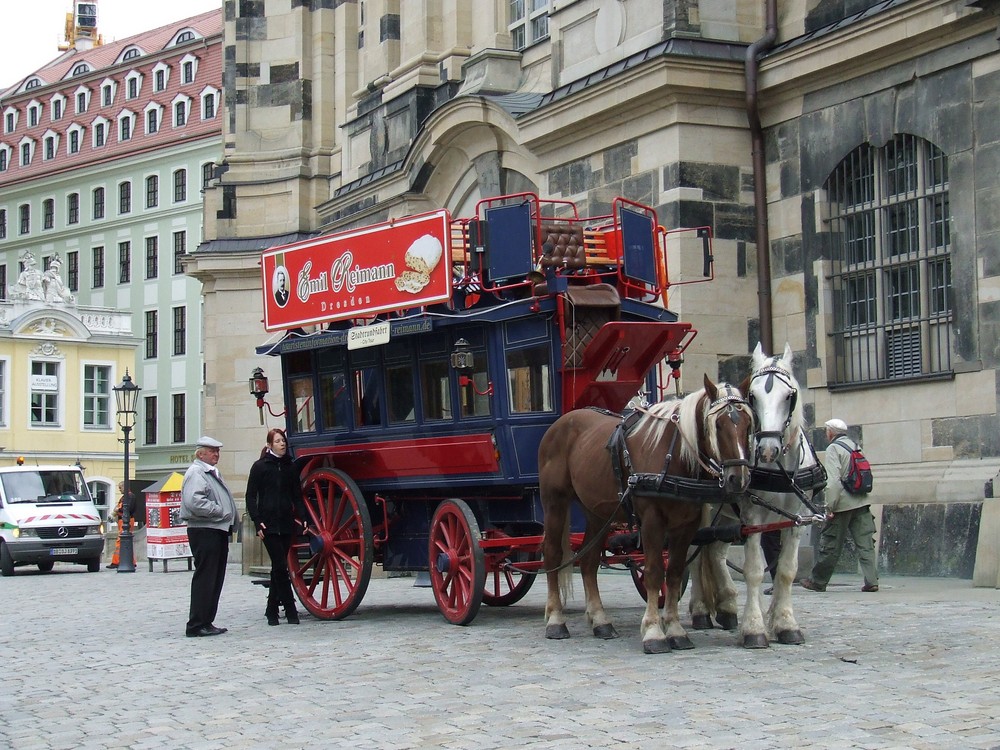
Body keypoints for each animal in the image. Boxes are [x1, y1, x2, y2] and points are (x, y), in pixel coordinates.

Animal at [540, 378, 752, 656]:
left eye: (748, 424)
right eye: (717, 424)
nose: (738, 479)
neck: (673, 458)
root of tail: (561, 423)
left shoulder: (686, 526)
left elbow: (673, 573)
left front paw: (675, 630)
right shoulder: (652, 521)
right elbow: (653, 572)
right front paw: (653, 632)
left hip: (597, 512)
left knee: (588, 562)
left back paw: (600, 620)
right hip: (555, 502)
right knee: (553, 555)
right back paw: (556, 620)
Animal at [688, 344, 828, 648]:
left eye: (789, 396)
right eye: (752, 396)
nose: (766, 449)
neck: (780, 470)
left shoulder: (795, 518)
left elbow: (786, 570)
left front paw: (784, 622)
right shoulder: (753, 517)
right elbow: (753, 570)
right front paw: (754, 627)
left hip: (725, 515)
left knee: (714, 553)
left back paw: (727, 607)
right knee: (694, 554)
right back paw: (701, 610)